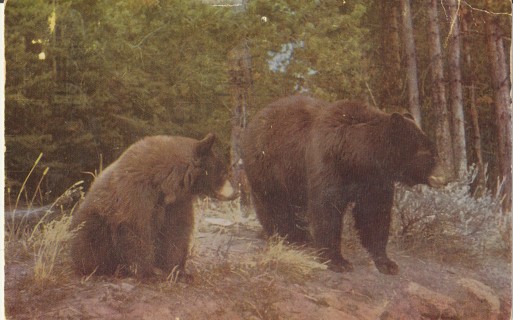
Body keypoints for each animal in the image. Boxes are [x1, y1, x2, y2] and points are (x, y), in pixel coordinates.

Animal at [70, 134, 234, 278]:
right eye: (223, 172)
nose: (236, 193)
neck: (165, 184)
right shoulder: (136, 192)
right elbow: (137, 228)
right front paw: (148, 272)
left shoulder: (177, 203)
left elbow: (177, 230)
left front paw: (178, 271)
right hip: (94, 219)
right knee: (91, 238)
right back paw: (100, 268)